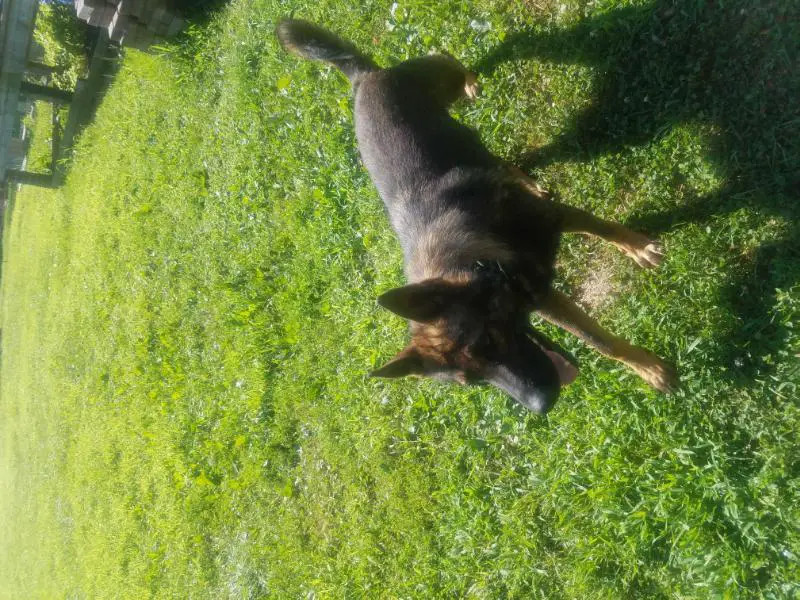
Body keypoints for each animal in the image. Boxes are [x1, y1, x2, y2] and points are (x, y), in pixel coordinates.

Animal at [277, 19, 678, 413]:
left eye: (487, 341)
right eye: (474, 381)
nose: (542, 405)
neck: (476, 263)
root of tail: (363, 78)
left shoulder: (553, 222)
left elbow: (606, 236)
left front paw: (638, 248)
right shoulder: (541, 297)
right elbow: (597, 340)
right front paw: (646, 367)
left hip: (444, 82)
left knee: (459, 54)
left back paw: (471, 77)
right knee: (499, 159)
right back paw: (523, 179)